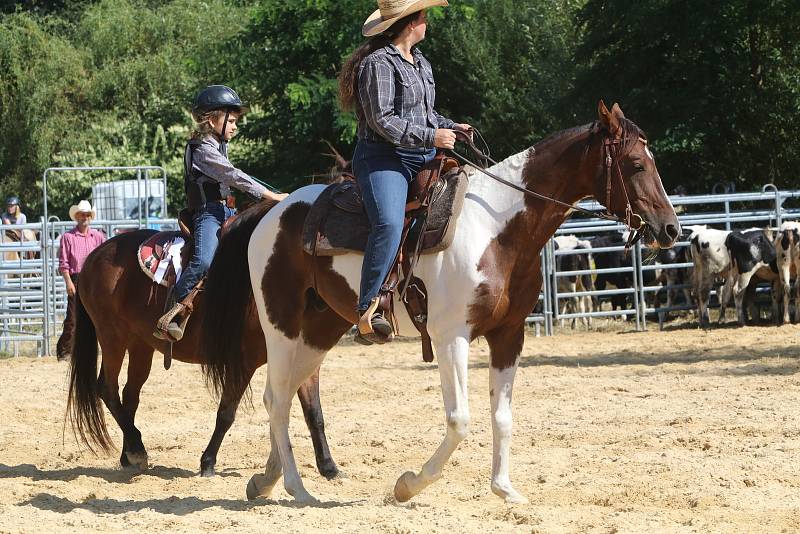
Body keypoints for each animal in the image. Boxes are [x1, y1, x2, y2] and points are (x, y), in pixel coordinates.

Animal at [68, 202, 340, 482]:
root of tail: (94, 257)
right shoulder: (244, 360)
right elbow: (226, 412)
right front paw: (207, 462)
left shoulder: (302, 357)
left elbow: (314, 412)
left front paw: (328, 466)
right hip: (112, 337)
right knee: (107, 389)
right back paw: (137, 448)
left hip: (139, 345)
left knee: (129, 395)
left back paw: (130, 454)